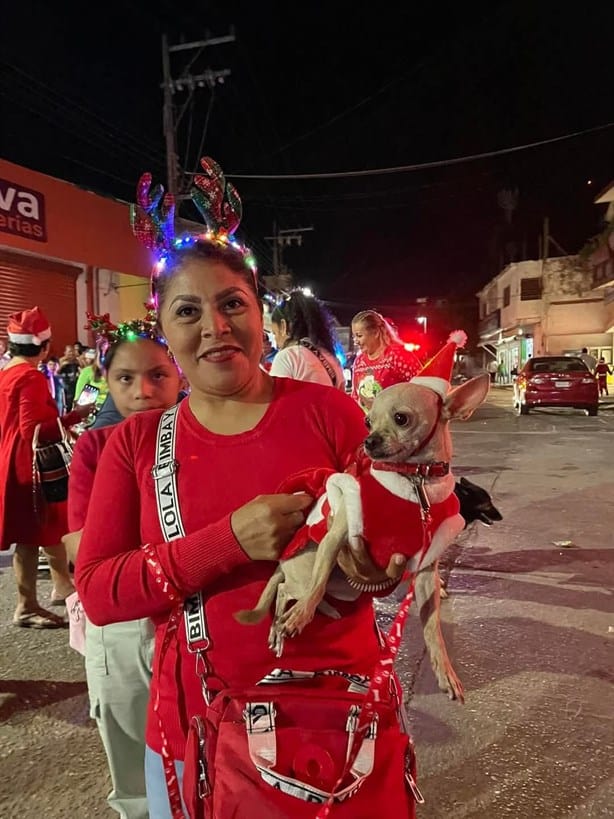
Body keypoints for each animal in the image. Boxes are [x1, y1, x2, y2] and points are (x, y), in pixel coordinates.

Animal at [236, 374, 490, 700]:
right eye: (367, 422)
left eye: (401, 418)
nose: (368, 441)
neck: (415, 479)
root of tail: (283, 564)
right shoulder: (336, 534)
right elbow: (317, 585)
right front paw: (301, 616)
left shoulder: (424, 572)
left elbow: (433, 629)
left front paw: (445, 673)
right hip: (308, 566)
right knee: (289, 589)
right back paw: (290, 619)